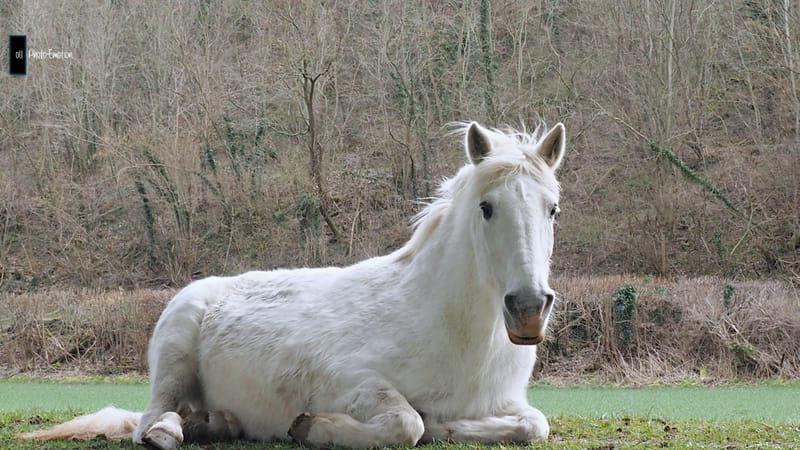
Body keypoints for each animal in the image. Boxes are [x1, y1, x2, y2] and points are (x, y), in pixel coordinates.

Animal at [21, 120, 566, 449]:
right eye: (486, 207)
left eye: (553, 209)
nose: (528, 308)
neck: (449, 325)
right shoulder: (350, 380)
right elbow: (407, 423)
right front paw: (313, 426)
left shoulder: (510, 404)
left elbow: (533, 423)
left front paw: (447, 425)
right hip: (174, 356)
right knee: (149, 421)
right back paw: (173, 431)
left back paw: (217, 424)